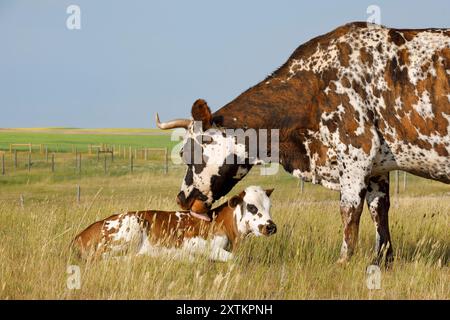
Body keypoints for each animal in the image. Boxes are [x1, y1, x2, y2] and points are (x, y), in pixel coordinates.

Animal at [72, 186, 276, 262]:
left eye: (269, 206)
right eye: (251, 207)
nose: (271, 226)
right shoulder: (193, 242)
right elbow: (235, 259)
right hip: (131, 229)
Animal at [156, 21, 450, 264]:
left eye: (187, 152)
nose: (182, 199)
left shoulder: (355, 158)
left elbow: (349, 212)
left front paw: (343, 262)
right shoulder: (378, 170)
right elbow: (380, 214)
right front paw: (381, 262)